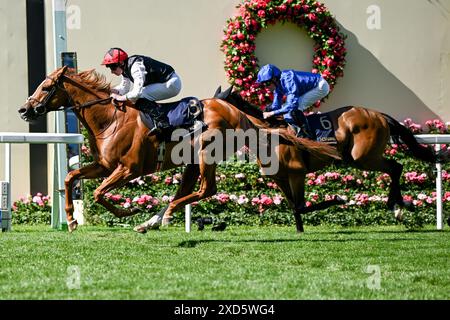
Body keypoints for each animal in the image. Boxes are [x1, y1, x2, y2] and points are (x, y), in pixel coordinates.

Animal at [17, 67, 342, 232]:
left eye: (45, 87)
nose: (24, 109)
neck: (110, 119)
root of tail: (234, 110)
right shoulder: (105, 166)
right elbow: (71, 178)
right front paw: (71, 219)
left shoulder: (128, 169)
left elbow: (98, 193)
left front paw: (128, 210)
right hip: (193, 161)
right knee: (189, 189)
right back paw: (153, 220)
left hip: (206, 153)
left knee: (207, 189)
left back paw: (163, 216)